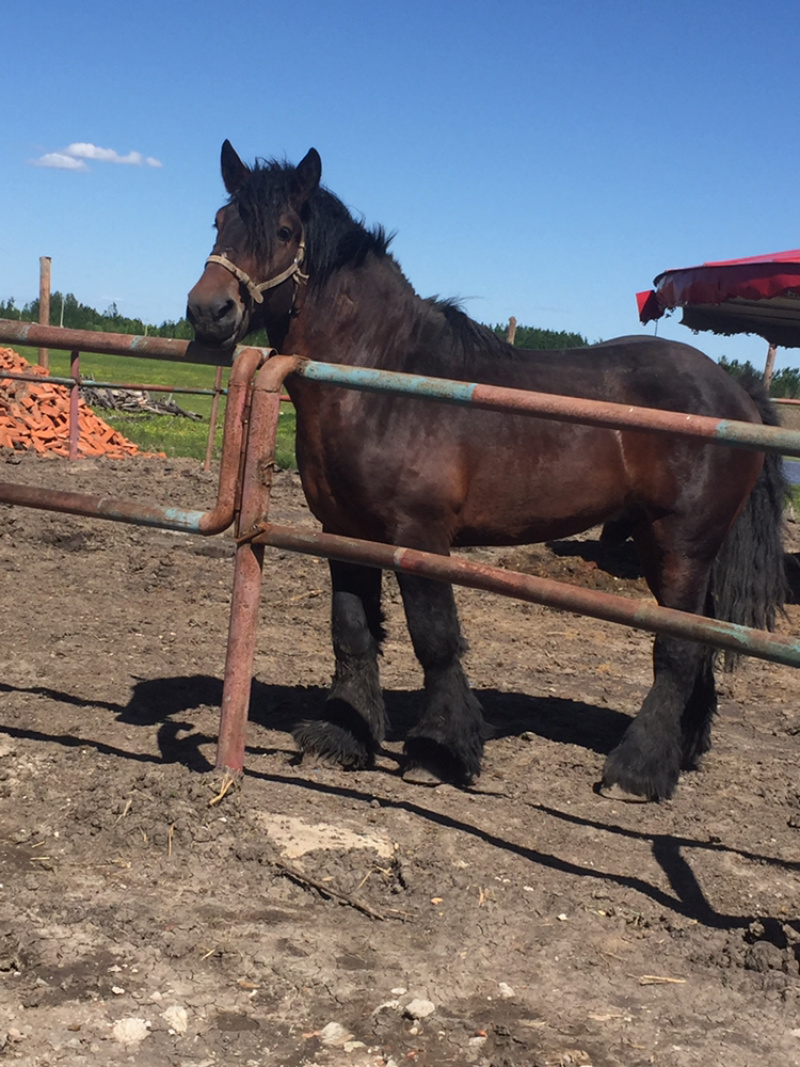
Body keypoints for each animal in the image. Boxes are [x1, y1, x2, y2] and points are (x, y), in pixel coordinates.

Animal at [187, 141, 787, 801]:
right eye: (219, 221)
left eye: (286, 230)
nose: (209, 311)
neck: (383, 379)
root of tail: (735, 392)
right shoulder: (342, 532)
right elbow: (352, 629)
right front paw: (344, 737)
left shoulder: (420, 536)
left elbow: (435, 638)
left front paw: (440, 751)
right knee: (699, 641)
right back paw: (684, 750)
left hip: (680, 545)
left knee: (677, 648)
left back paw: (637, 770)